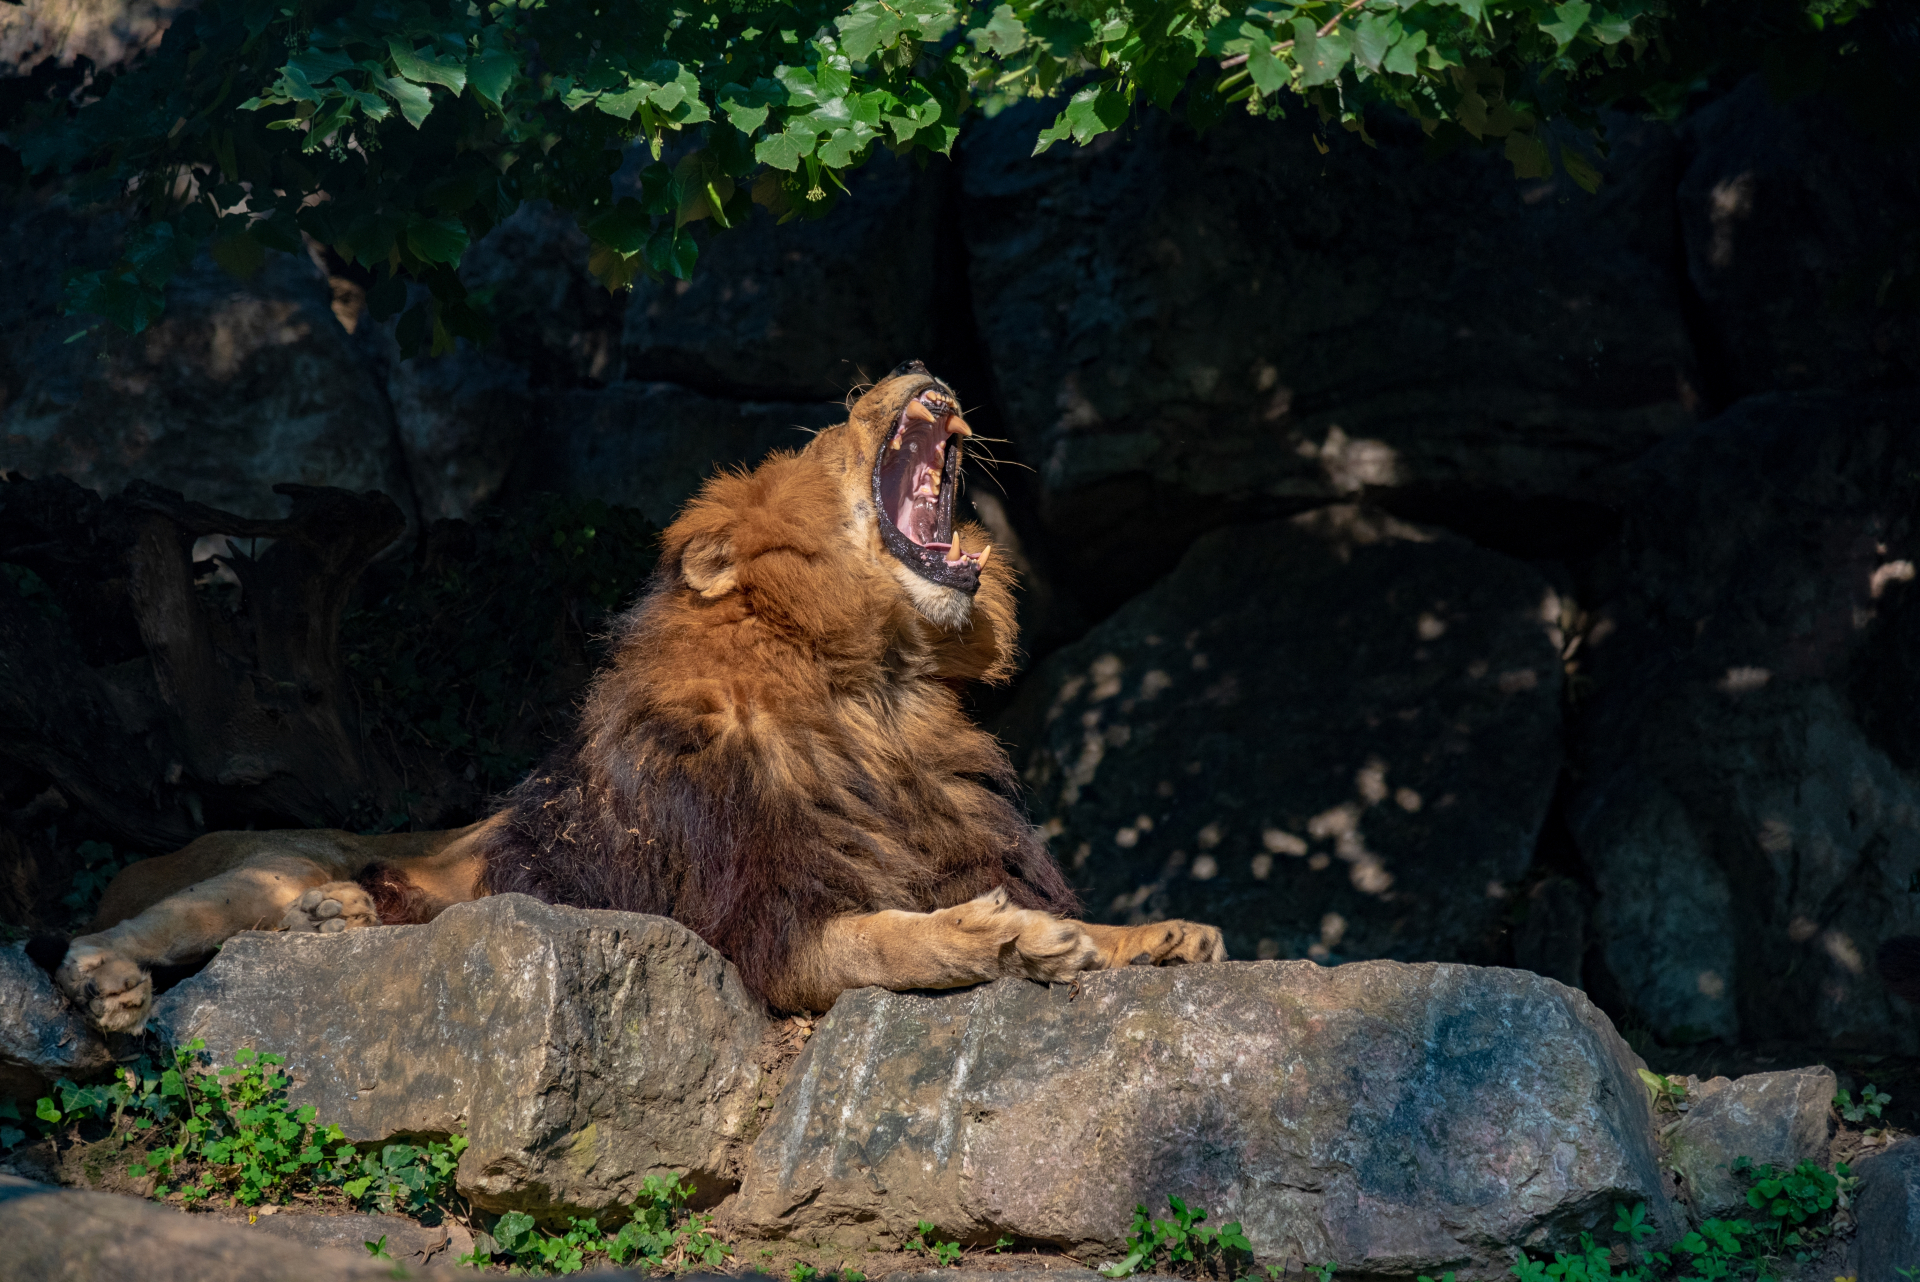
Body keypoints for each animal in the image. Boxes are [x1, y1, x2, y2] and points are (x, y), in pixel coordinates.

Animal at [52, 364, 1226, 1032]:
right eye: (823, 433)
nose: (918, 368)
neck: (874, 698)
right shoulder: (757, 928)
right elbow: (893, 938)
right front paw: (1010, 942)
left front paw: (1157, 934)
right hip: (270, 858)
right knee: (144, 925)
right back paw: (112, 978)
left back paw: (337, 920)